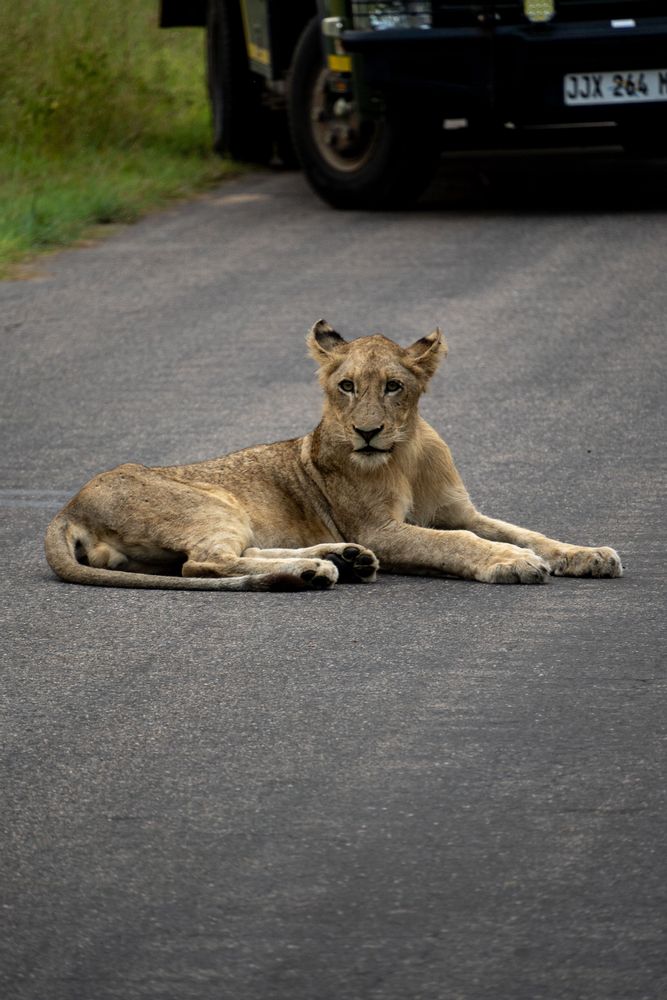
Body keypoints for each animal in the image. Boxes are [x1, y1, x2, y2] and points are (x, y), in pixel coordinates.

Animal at [45, 321, 622, 591]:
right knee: (204, 564)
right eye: (346, 386)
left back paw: (340, 559)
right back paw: (319, 569)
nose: (367, 433)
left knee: (224, 557)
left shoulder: (458, 511)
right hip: (212, 503)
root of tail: (66, 508)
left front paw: (588, 554)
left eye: (393, 386)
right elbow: (457, 543)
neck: (404, 454)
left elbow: (526, 531)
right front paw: (510, 563)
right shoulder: (380, 529)